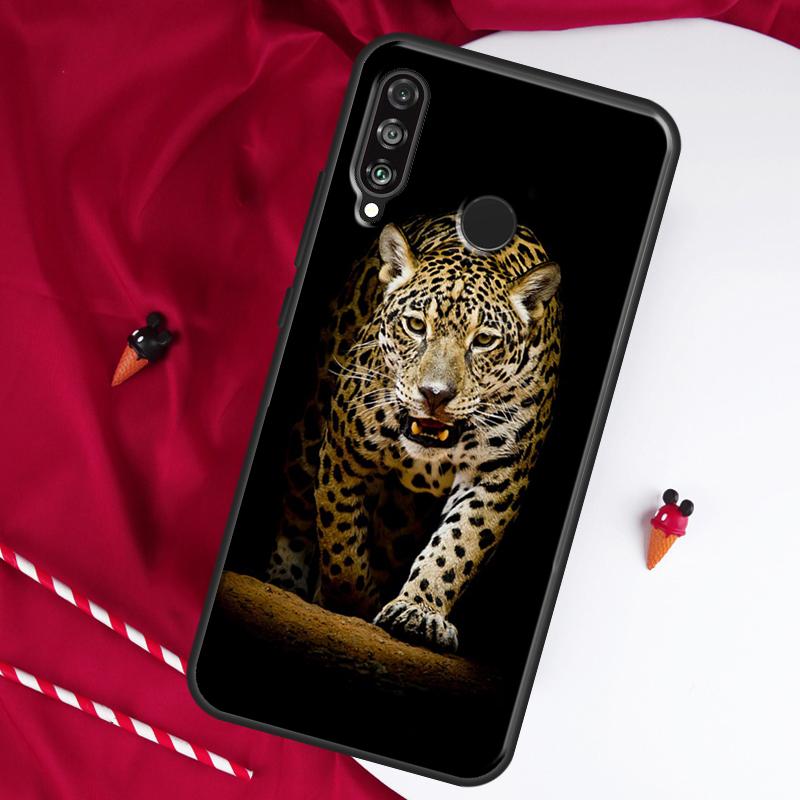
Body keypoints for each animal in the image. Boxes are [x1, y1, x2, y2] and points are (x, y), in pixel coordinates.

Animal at [266, 211, 561, 652]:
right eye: (416, 325)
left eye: (484, 340)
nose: (435, 394)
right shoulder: (344, 449)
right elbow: (340, 539)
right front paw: (348, 601)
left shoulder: (498, 476)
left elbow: (458, 546)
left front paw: (418, 611)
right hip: (311, 424)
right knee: (299, 506)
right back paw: (284, 578)